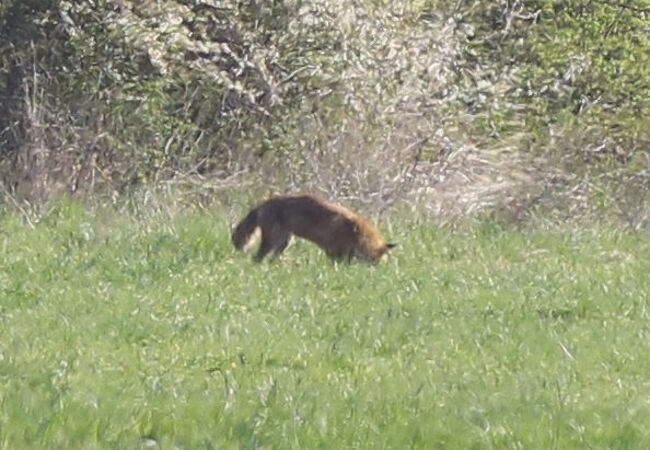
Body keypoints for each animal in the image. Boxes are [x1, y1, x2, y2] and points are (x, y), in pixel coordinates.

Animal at [232, 194, 396, 263]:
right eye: (374, 260)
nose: (373, 272)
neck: (357, 234)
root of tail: (263, 203)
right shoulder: (334, 249)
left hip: (284, 242)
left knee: (272, 258)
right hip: (273, 240)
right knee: (257, 257)